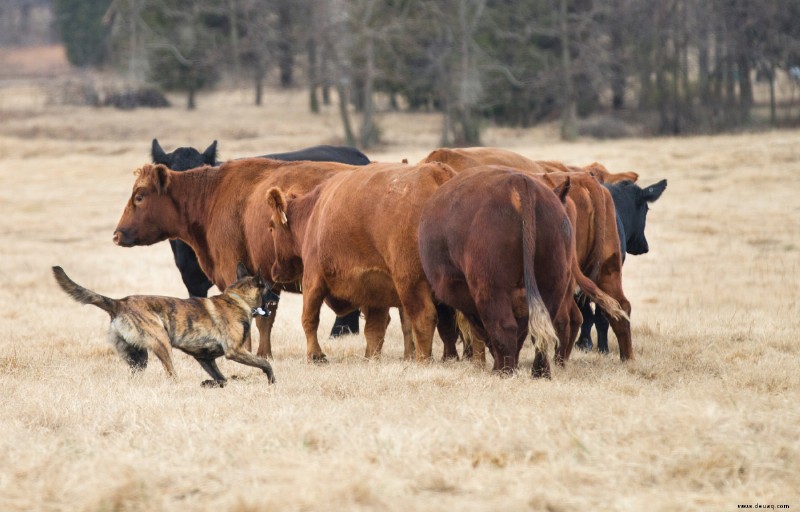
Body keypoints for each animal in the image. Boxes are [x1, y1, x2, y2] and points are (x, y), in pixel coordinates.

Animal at [51, 262, 276, 386]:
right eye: (268, 288)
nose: (278, 297)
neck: (238, 299)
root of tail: (119, 303)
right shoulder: (235, 351)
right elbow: (265, 363)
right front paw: (272, 381)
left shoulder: (205, 358)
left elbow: (222, 379)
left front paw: (209, 383)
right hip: (161, 343)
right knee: (171, 375)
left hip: (138, 359)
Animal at [113, 157, 360, 360]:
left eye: (139, 197)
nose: (117, 234)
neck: (212, 195)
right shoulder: (268, 280)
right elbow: (265, 320)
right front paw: (264, 354)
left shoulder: (233, 270)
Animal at [268, 163, 456, 360]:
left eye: (271, 226)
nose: (275, 271)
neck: (313, 213)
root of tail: (437, 172)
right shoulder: (375, 293)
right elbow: (374, 329)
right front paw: (370, 357)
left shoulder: (312, 279)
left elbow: (309, 319)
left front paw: (315, 355)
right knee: (448, 322)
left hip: (410, 281)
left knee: (424, 317)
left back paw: (422, 359)